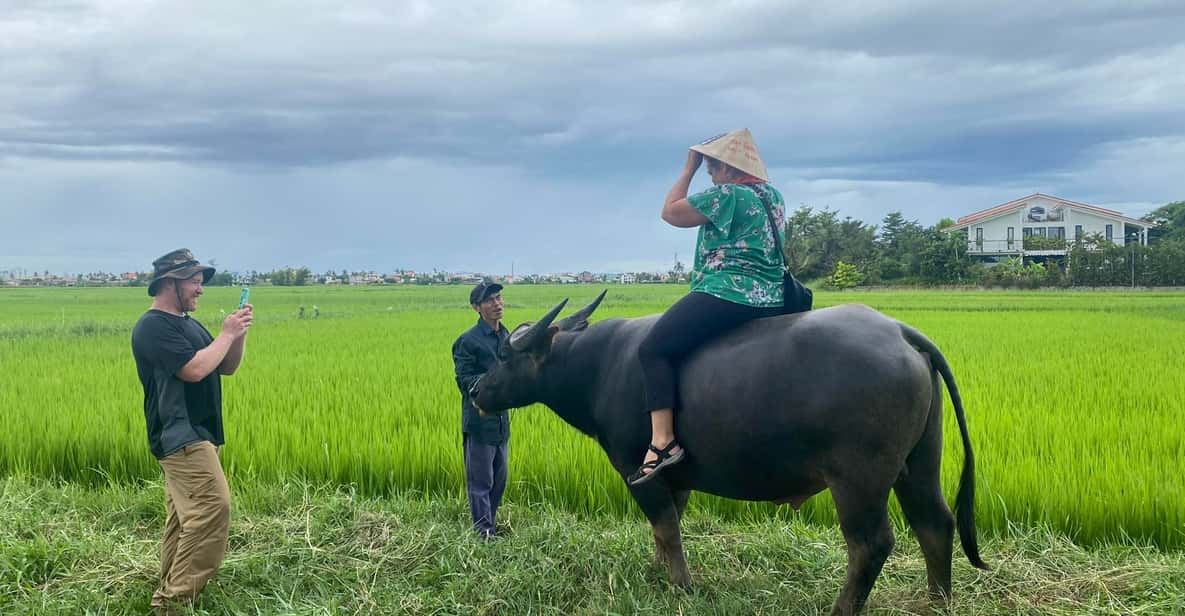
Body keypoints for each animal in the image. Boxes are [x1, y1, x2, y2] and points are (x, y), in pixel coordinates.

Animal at [466, 291, 985, 611]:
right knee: (935, 523)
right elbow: (665, 529)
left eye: (506, 356)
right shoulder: (671, 477)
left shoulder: (637, 469)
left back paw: (842, 609)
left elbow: (666, 527)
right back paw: (938, 601)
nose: (474, 390)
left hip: (859, 478)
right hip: (918, 463)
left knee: (870, 543)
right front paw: (658, 573)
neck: (598, 368)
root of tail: (901, 332)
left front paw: (682, 586)